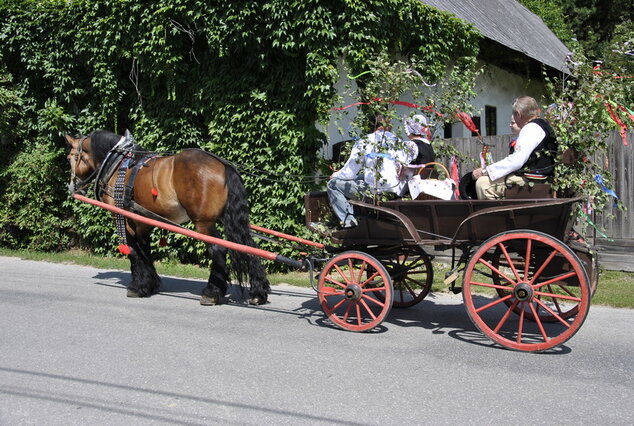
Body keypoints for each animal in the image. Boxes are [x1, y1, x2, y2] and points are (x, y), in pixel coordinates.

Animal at [65, 128, 270, 304]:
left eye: (70, 157)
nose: (72, 186)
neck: (118, 166)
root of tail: (223, 165)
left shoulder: (124, 217)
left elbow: (133, 251)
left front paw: (138, 286)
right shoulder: (142, 220)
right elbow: (144, 249)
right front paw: (150, 284)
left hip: (203, 222)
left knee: (218, 249)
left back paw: (211, 293)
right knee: (247, 245)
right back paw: (258, 293)